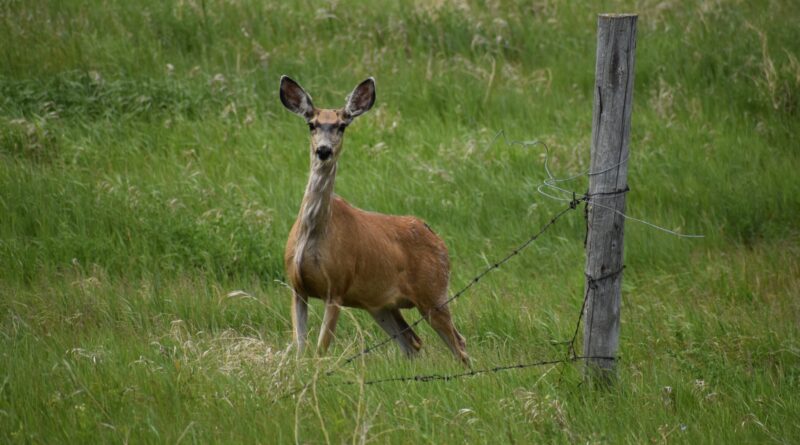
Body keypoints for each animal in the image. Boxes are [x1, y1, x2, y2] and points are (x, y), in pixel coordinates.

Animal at [280, 74, 468, 362]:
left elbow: (321, 350)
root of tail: (437, 238)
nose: (324, 150)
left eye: (342, 126)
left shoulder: (338, 285)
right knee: (412, 341)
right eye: (311, 124)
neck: (313, 232)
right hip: (380, 304)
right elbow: (300, 348)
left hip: (434, 291)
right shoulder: (297, 287)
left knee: (459, 343)